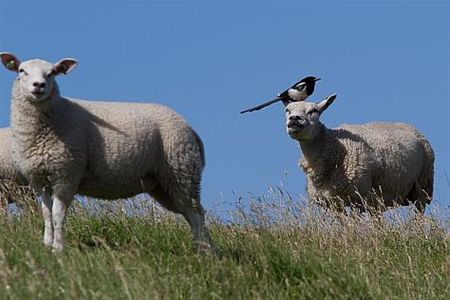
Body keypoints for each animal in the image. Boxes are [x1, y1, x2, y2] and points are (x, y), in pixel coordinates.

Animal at [0, 52, 218, 252]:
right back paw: (205, 249)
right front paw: (47, 245)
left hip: (181, 171)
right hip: (163, 182)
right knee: (189, 213)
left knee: (196, 214)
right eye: (22, 71)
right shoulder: (38, 178)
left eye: (52, 73)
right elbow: (46, 213)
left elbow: (57, 214)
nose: (39, 85)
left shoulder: (66, 174)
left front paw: (58, 249)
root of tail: (189, 128)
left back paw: (206, 252)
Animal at [286, 94, 434, 213]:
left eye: (314, 111)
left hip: (422, 185)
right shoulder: (333, 203)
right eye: (287, 110)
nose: (294, 119)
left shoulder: (356, 197)